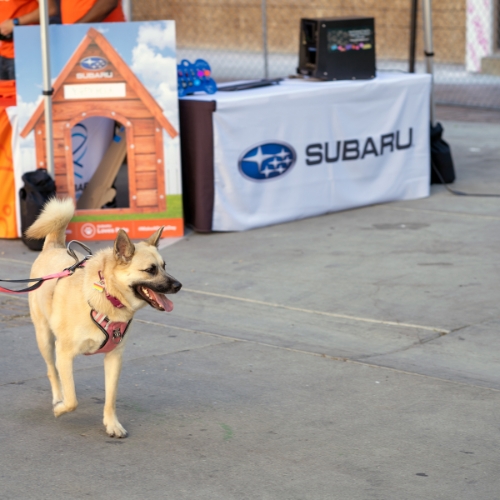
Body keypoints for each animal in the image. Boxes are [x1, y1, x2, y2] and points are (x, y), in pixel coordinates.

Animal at [25, 197, 182, 436]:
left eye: (164, 267)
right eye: (151, 270)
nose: (179, 285)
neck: (108, 295)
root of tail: (54, 246)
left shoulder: (114, 358)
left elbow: (110, 397)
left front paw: (111, 424)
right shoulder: (64, 354)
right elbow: (72, 400)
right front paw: (61, 408)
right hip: (44, 338)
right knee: (53, 372)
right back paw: (57, 398)